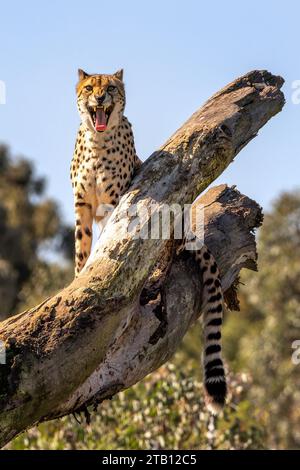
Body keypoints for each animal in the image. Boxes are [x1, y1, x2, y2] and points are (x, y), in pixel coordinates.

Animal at [70, 69, 142, 276]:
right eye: (89, 88)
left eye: (110, 88)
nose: (100, 98)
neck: (97, 141)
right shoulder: (82, 203)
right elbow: (82, 244)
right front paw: (78, 275)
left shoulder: (111, 203)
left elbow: (107, 237)